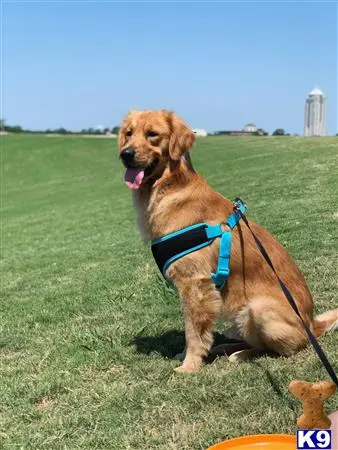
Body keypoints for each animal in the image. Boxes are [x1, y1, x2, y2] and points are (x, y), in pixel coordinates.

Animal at [117, 109, 336, 372]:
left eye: (152, 134)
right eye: (129, 133)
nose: (125, 154)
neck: (168, 188)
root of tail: (313, 325)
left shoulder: (195, 285)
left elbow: (193, 332)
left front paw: (190, 365)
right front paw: (188, 356)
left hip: (258, 310)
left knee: (276, 350)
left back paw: (240, 354)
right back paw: (225, 348)